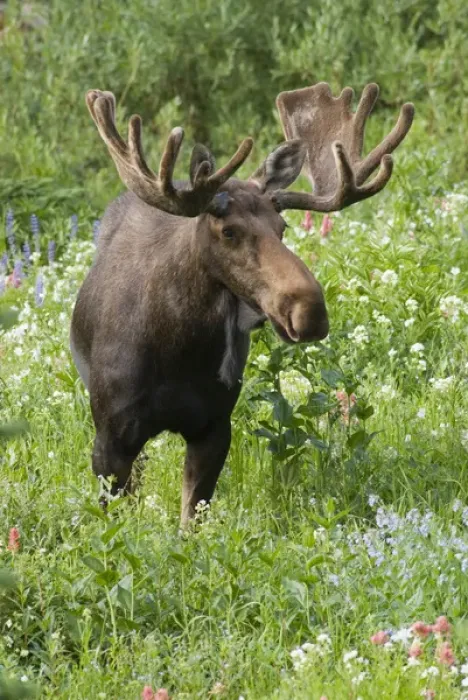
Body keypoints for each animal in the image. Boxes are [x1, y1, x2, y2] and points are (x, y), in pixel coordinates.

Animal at [70, 82, 414, 526]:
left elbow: (191, 520)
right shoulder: (110, 437)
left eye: (282, 226)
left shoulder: (215, 426)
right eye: (228, 231)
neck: (179, 351)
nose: (310, 312)